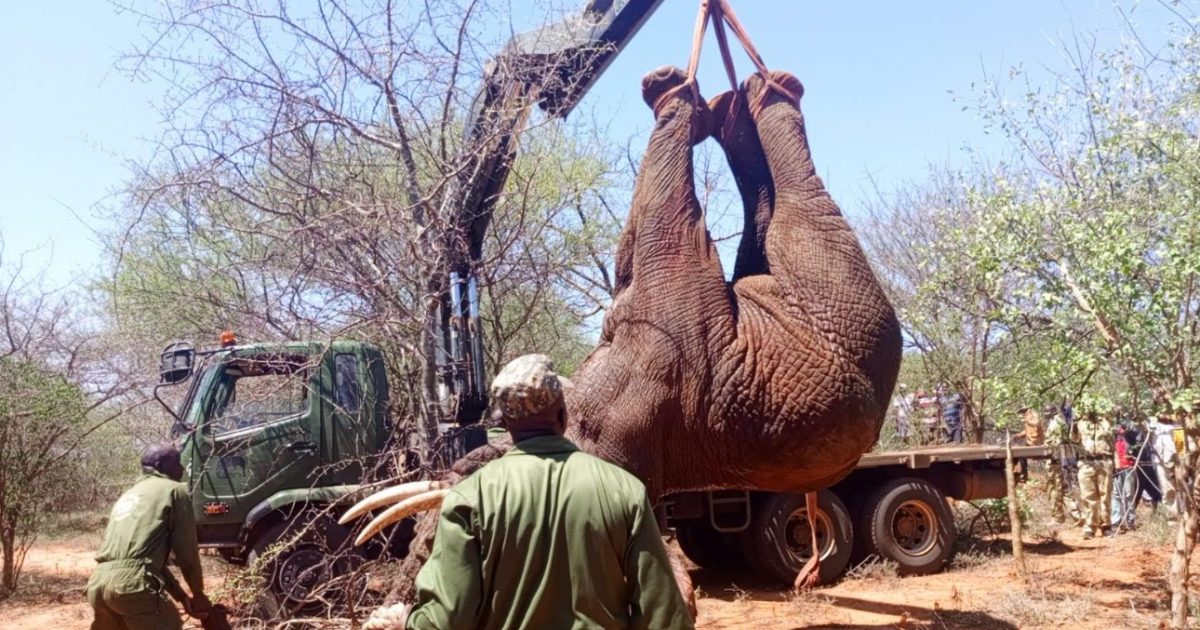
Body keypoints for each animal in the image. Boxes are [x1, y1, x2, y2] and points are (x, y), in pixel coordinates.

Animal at [343, 62, 897, 604]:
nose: (400, 593)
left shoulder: (669, 323)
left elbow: (658, 225)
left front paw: (670, 90)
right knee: (768, 213)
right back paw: (738, 106)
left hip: (828, 282)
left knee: (791, 212)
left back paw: (756, 92)